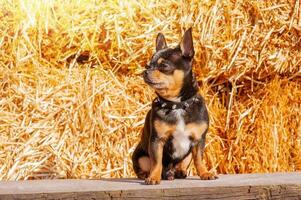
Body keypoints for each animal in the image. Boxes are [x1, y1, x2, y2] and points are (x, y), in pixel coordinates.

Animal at [131, 27, 216, 184]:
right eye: (148, 66)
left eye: (164, 66)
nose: (145, 71)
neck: (177, 104)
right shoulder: (157, 141)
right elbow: (156, 161)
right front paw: (153, 177)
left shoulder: (198, 141)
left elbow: (199, 159)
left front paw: (204, 173)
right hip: (141, 156)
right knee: (148, 165)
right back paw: (150, 175)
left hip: (187, 154)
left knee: (183, 163)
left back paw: (179, 172)